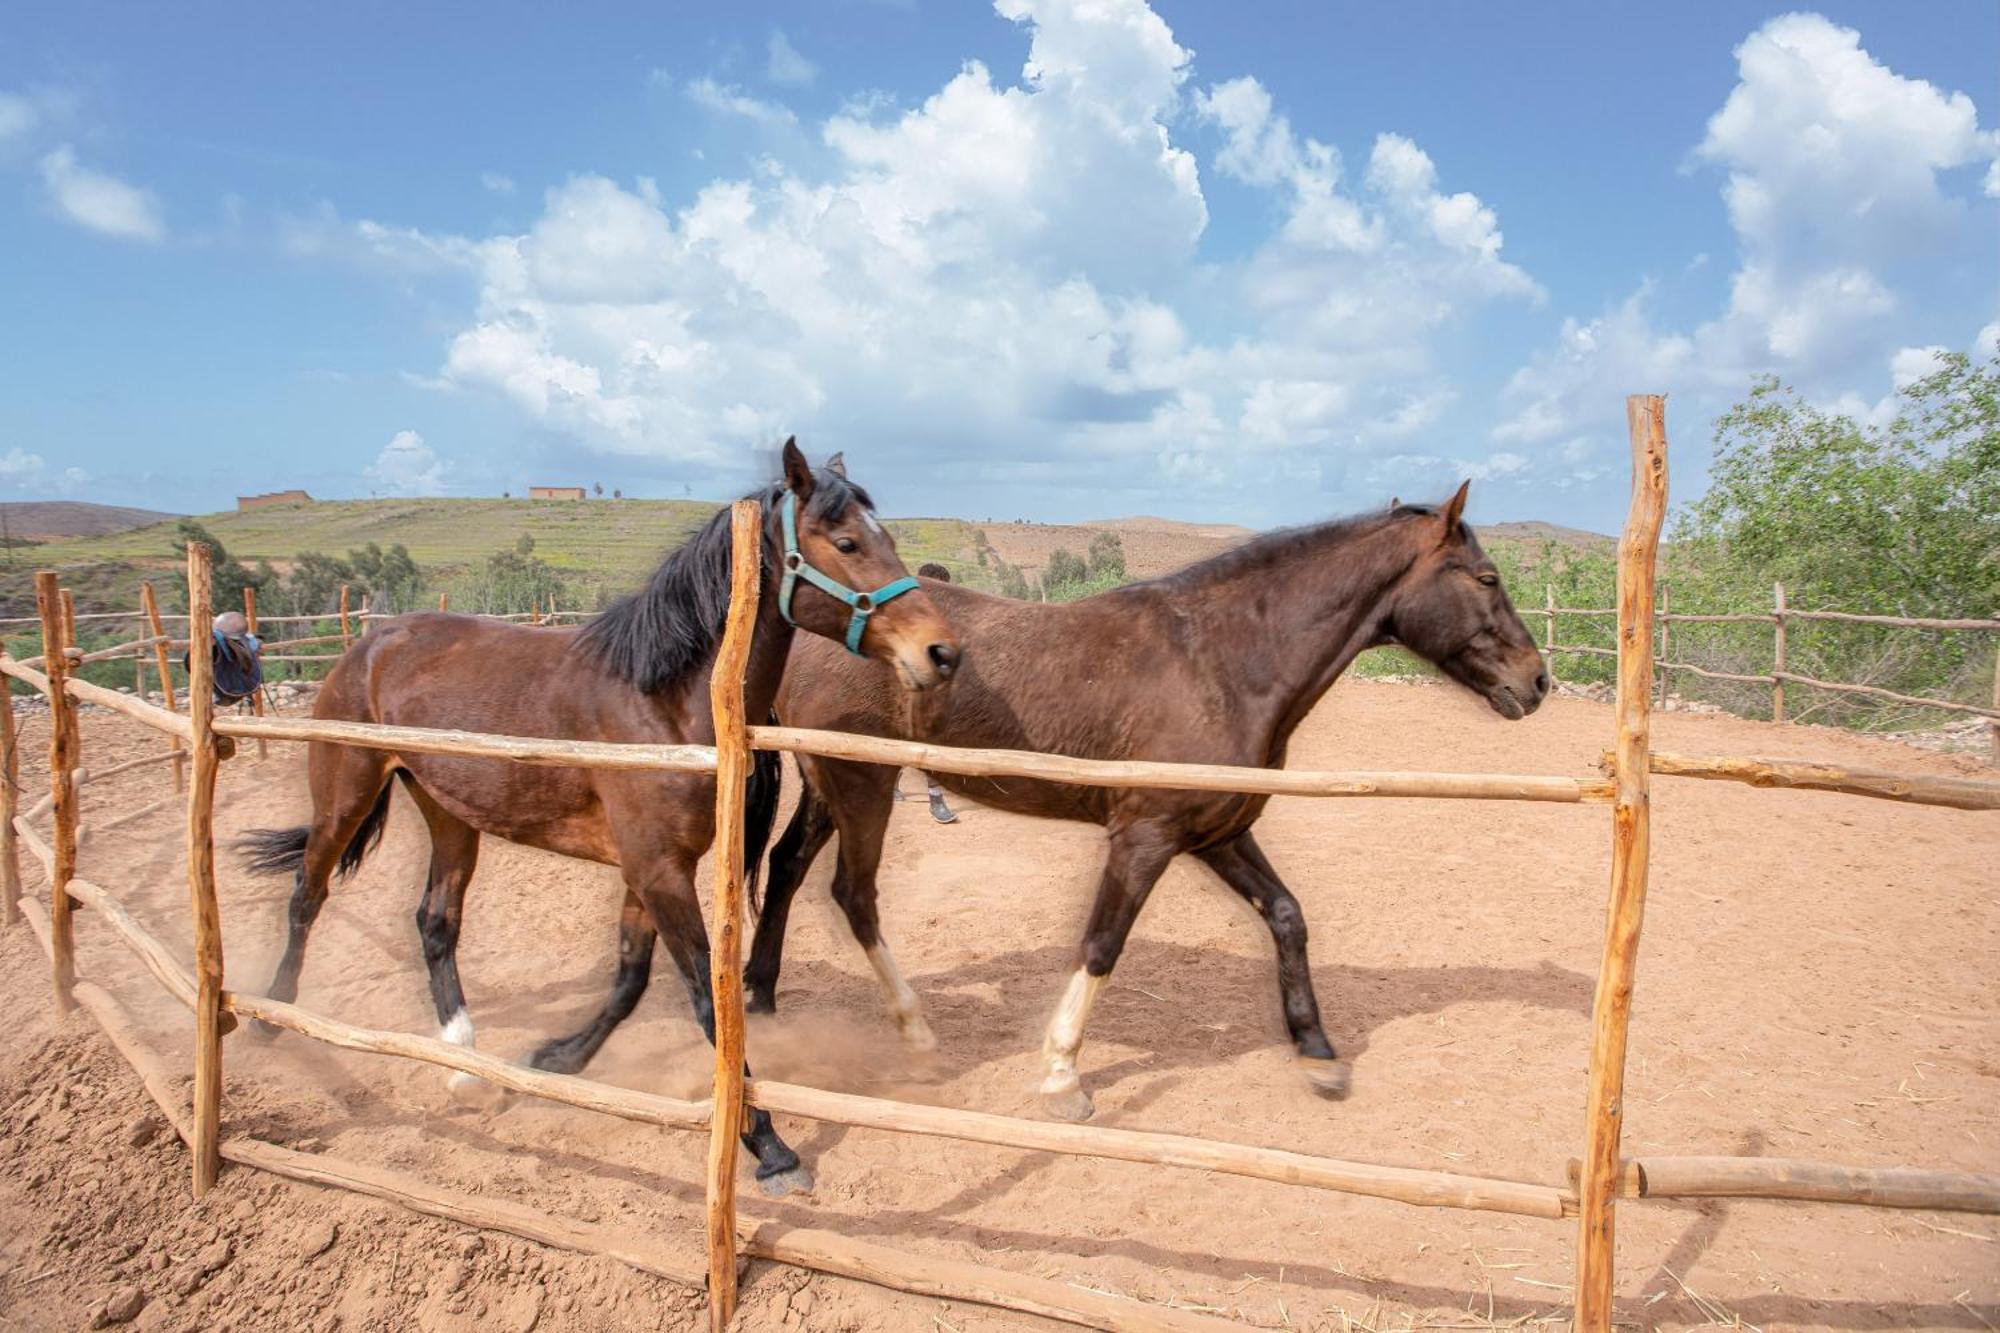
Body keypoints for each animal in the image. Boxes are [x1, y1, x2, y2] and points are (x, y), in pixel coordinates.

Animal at [240, 440, 960, 1184]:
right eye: (846, 542)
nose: (940, 652)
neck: (663, 701)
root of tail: (372, 643)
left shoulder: (649, 868)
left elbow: (629, 981)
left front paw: (555, 1059)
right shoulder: (659, 870)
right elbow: (704, 996)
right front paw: (769, 1143)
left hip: (449, 815)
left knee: (436, 925)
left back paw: (465, 1065)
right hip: (344, 795)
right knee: (306, 896)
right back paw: (270, 1016)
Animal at [748, 482, 1544, 1112]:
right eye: (1487, 577)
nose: (1535, 681)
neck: (1221, 661)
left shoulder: (1219, 833)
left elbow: (1288, 917)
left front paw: (1319, 1055)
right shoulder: (1144, 836)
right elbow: (1103, 944)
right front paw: (1062, 1077)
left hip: (829, 786)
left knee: (784, 870)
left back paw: (759, 1003)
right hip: (863, 786)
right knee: (853, 895)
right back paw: (915, 1037)